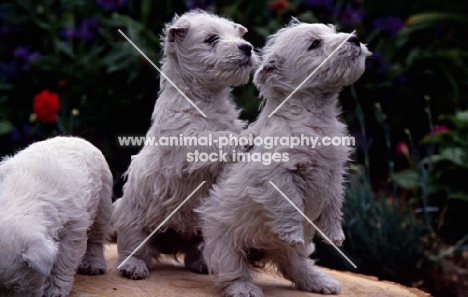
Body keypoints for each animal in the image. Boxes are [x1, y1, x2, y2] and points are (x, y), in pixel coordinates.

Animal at [0, 136, 113, 296]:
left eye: (16, 286)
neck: (19, 195)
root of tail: (75, 138)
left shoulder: (73, 228)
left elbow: (64, 260)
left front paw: (54, 290)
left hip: (102, 203)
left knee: (96, 238)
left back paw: (93, 265)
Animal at [114, 8, 260, 278]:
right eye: (211, 39)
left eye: (237, 36)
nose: (247, 47)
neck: (206, 99)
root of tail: (171, 240)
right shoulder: (188, 140)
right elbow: (216, 140)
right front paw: (249, 136)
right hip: (133, 218)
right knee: (133, 246)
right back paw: (133, 266)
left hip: (198, 230)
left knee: (195, 251)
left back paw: (201, 263)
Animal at [199, 20, 372, 296]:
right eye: (315, 43)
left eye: (333, 32)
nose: (354, 40)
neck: (314, 117)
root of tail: (260, 251)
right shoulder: (276, 174)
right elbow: (290, 203)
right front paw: (291, 232)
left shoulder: (334, 174)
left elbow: (334, 204)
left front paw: (335, 235)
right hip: (222, 240)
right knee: (232, 269)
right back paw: (244, 288)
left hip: (296, 251)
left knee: (295, 265)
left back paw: (319, 281)